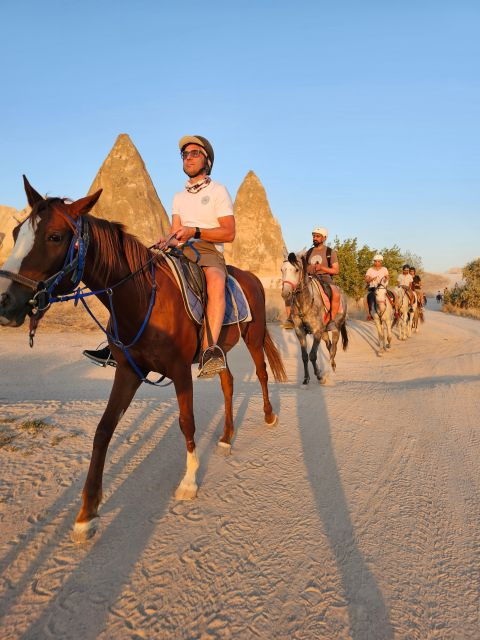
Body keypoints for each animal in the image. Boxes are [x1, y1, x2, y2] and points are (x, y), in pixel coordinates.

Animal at [0, 178, 284, 544]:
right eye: (15, 232)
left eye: (55, 236)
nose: (5, 302)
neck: (141, 298)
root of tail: (249, 277)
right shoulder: (128, 371)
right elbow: (103, 431)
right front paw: (87, 513)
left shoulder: (180, 370)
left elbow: (186, 421)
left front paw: (189, 482)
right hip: (220, 347)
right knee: (228, 381)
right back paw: (225, 437)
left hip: (254, 335)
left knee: (261, 373)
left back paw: (269, 415)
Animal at [280, 254, 346, 384]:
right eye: (282, 270)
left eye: (296, 270)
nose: (286, 293)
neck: (305, 302)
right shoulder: (300, 332)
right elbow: (305, 356)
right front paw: (306, 378)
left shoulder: (317, 331)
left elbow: (313, 355)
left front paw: (320, 376)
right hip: (324, 332)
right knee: (329, 346)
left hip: (336, 328)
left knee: (333, 348)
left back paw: (331, 370)